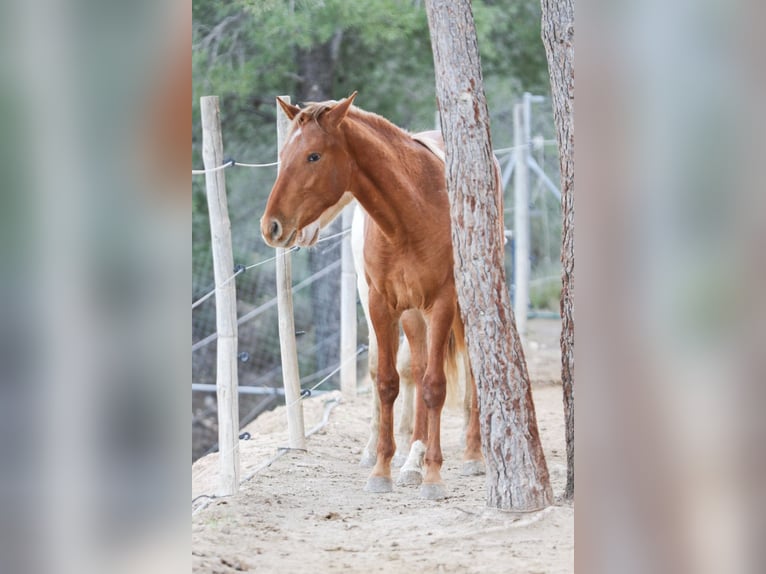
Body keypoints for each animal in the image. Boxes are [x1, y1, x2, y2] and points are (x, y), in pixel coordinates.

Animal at [262, 93, 492, 500]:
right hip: (413, 316)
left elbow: (435, 386)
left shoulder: (443, 303)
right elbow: (387, 381)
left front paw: (434, 477)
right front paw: (383, 469)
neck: (411, 212)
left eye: (313, 156)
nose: (271, 226)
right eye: (284, 153)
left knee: (465, 369)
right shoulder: (381, 304)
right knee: (416, 366)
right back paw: (412, 460)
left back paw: (471, 454)